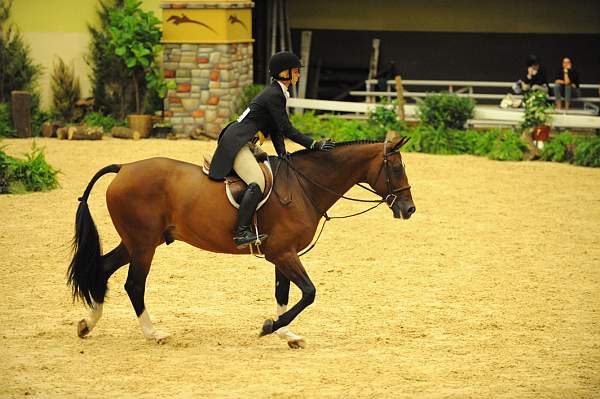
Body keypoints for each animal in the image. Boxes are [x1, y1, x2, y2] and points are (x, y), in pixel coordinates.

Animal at [64, 134, 412, 346]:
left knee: (103, 268)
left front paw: (286, 333)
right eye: (396, 168)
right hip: (144, 245)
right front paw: (270, 327)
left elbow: (284, 293)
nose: (409, 209)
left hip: (138, 242)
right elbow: (309, 293)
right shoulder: (282, 253)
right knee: (134, 285)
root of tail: (123, 167)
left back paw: (88, 323)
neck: (303, 186)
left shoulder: (283, 254)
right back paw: (153, 333)